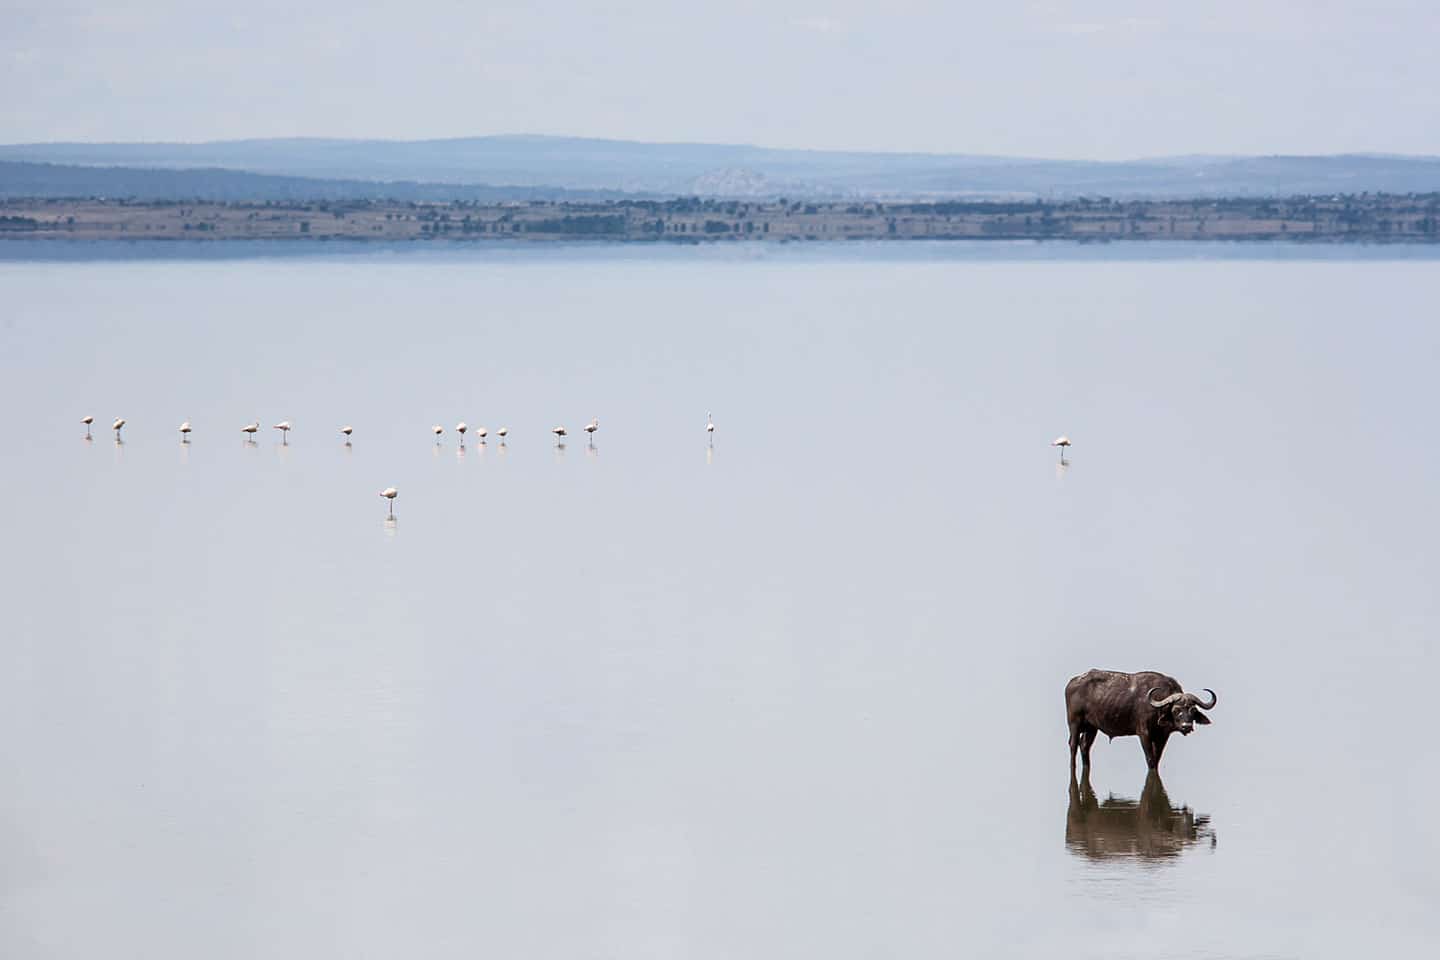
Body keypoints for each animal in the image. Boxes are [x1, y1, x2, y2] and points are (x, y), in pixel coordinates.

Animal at [1065, 669, 1217, 772]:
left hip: (1092, 727)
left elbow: (1157, 758)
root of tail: (1072, 682)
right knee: (1073, 744)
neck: (1158, 708)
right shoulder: (1144, 733)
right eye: (1176, 710)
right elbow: (1150, 759)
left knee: (1084, 746)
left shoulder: (1163, 736)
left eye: (1193, 710)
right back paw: (1072, 766)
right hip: (1074, 722)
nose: (1186, 726)